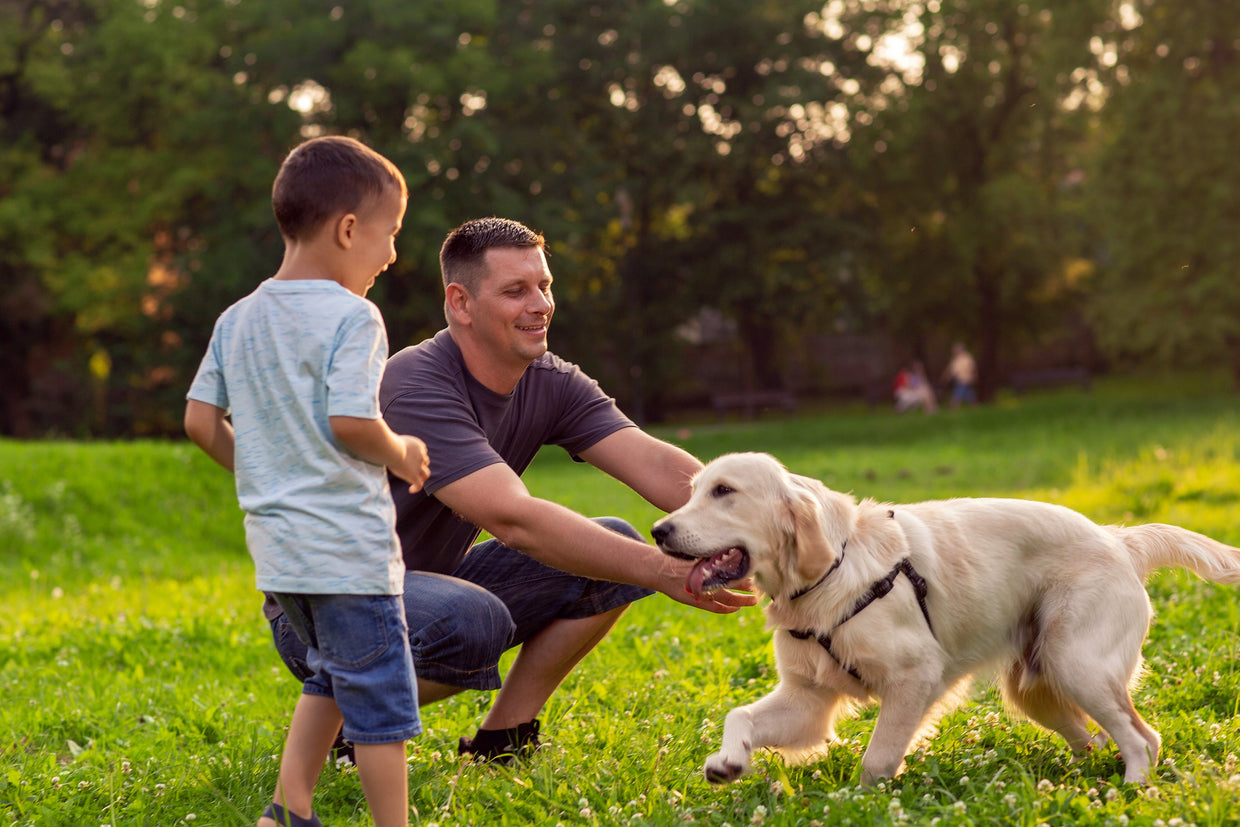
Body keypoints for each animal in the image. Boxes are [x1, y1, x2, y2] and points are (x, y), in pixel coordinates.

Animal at [649, 456, 1240, 788]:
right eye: (695, 489)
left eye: (725, 491)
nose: (658, 531)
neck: (832, 573)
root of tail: (1118, 539)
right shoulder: (808, 700)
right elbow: (740, 715)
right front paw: (728, 761)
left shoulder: (914, 679)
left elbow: (877, 760)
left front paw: (864, 801)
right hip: (1037, 687)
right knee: (1103, 740)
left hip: (1078, 666)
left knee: (1142, 738)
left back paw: (1133, 787)